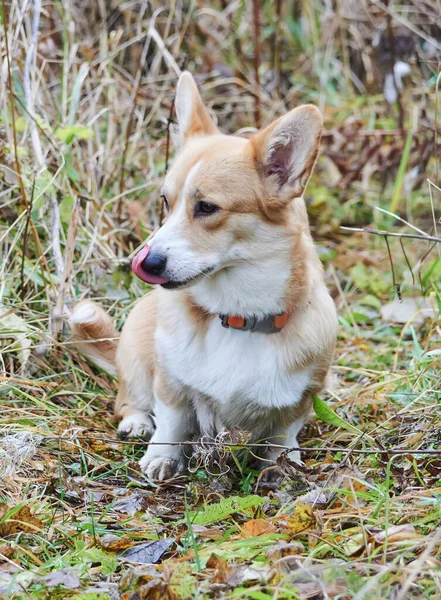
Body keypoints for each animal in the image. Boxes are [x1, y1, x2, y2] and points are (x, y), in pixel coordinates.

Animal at [69, 72, 336, 480]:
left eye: (207, 207)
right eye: (166, 201)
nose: (143, 262)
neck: (238, 316)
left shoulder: (301, 399)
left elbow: (283, 436)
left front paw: (282, 466)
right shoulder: (171, 384)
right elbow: (172, 421)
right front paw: (161, 457)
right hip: (137, 358)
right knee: (131, 399)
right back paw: (136, 422)